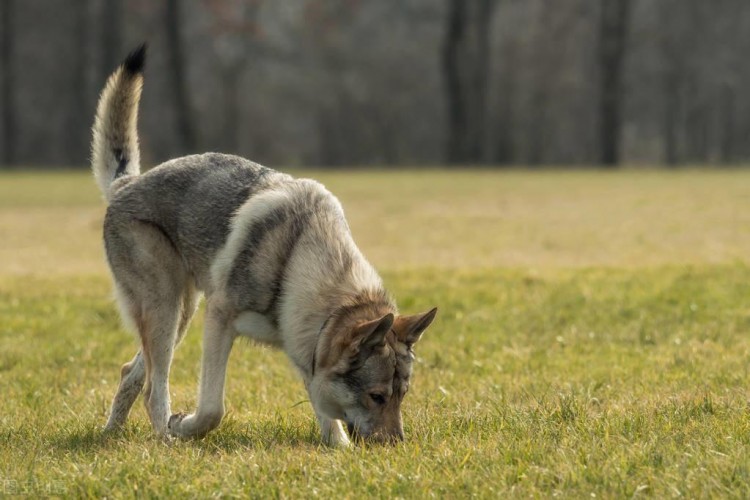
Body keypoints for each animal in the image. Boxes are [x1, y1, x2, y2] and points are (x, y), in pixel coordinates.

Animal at [91, 46, 438, 446]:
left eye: (402, 396)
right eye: (377, 396)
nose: (396, 447)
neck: (297, 261)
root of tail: (127, 184)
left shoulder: (307, 348)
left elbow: (328, 419)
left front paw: (339, 449)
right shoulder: (220, 319)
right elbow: (212, 408)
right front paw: (185, 426)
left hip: (180, 314)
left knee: (130, 371)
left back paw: (111, 433)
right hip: (168, 307)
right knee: (153, 388)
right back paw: (166, 437)